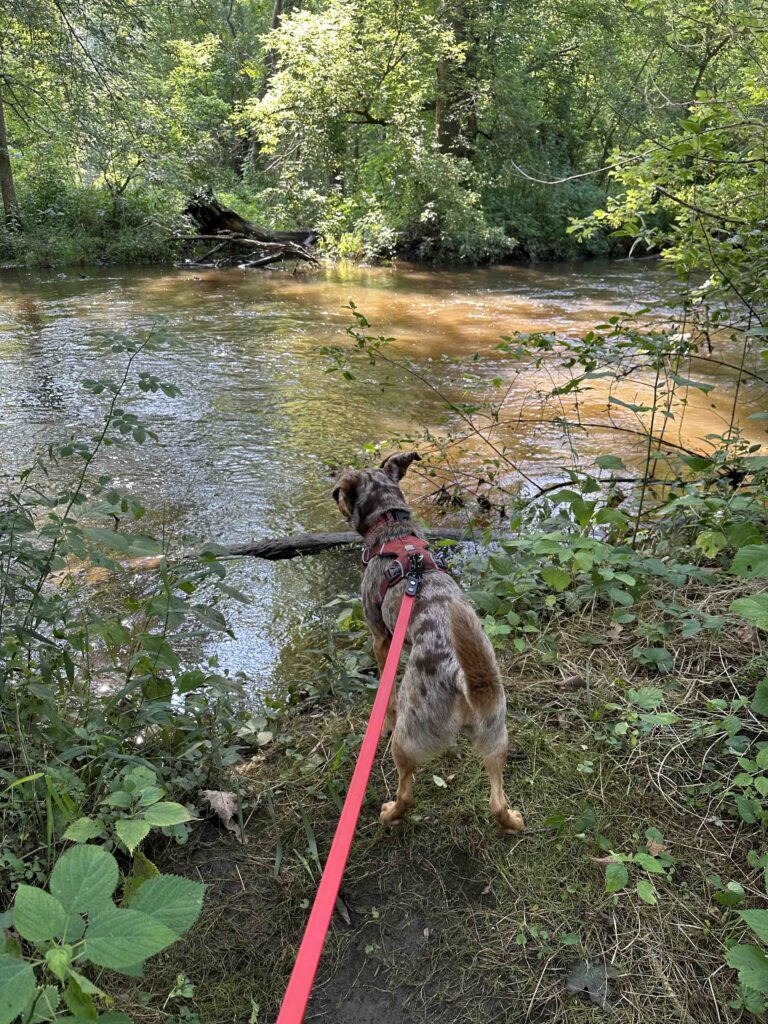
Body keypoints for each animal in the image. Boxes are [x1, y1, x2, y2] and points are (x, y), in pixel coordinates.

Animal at [333, 454, 528, 831]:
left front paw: (385, 715)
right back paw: (512, 820)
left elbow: (387, 695)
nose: (334, 495)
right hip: (496, 735)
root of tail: (461, 678)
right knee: (497, 800)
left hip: (406, 740)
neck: (391, 526)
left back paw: (389, 814)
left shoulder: (381, 638)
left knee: (407, 792)